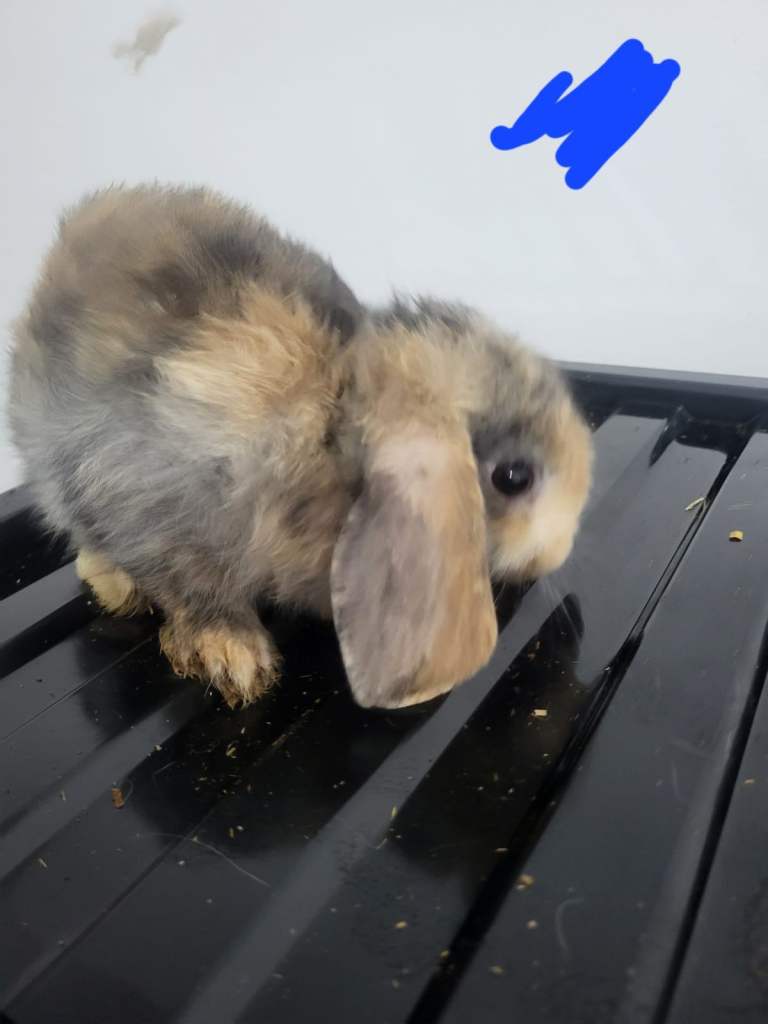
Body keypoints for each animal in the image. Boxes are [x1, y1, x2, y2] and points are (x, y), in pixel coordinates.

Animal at [8, 184, 593, 710]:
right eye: (513, 477)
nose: (555, 556)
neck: (333, 433)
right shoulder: (156, 509)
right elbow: (196, 588)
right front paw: (236, 659)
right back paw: (116, 586)